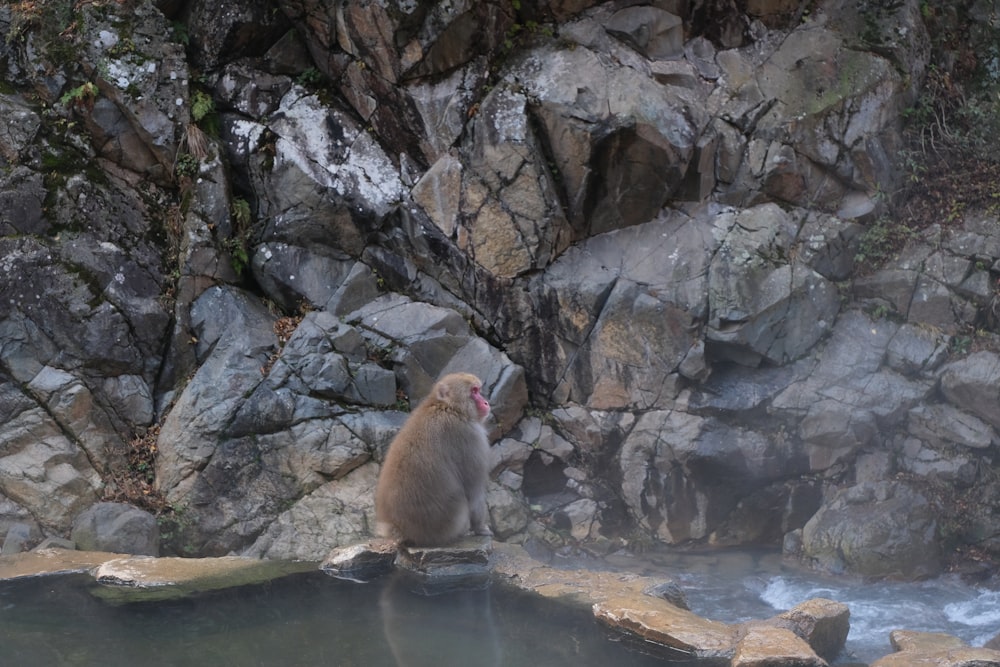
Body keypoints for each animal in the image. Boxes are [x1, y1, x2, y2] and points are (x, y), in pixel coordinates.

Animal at [376, 370, 494, 548]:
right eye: (474, 391)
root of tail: (401, 530)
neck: (450, 408)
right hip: (448, 523)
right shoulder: (470, 437)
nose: (486, 402)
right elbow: (474, 491)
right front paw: (480, 528)